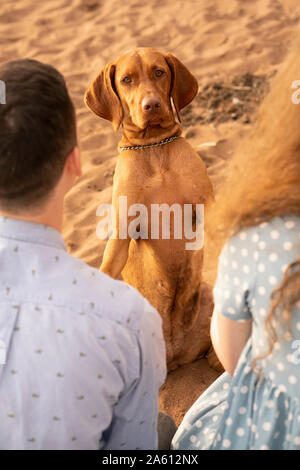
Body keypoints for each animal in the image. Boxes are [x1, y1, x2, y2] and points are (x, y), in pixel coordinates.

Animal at [84, 47, 218, 370]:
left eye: (159, 72)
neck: (153, 147)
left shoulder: (205, 207)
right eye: (126, 79)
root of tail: (176, 355)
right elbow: (107, 267)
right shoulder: (122, 231)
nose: (152, 105)